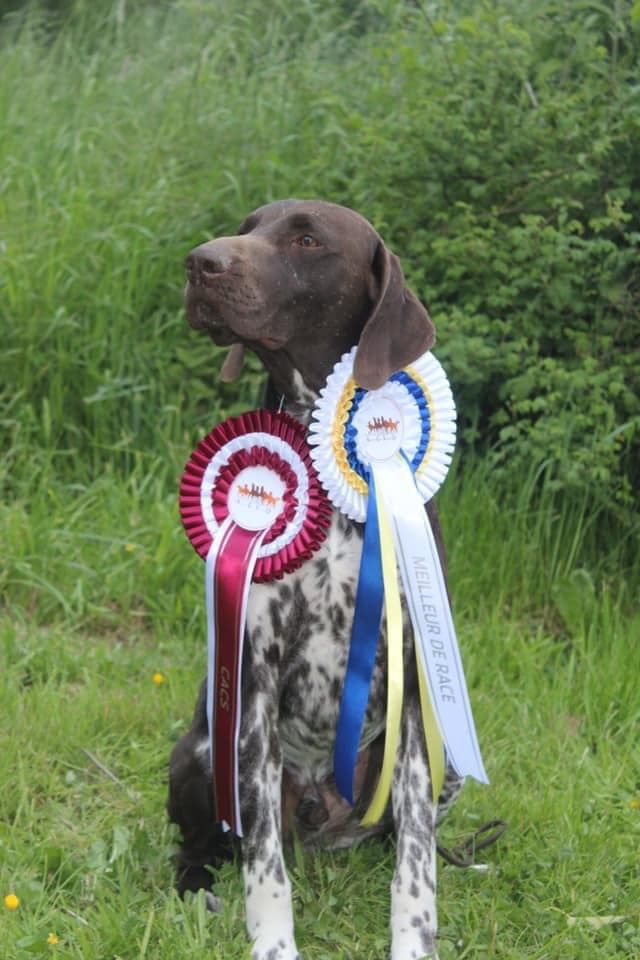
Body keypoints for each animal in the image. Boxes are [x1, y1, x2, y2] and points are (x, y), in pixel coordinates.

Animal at [168, 197, 462, 960]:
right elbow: (263, 866)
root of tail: (321, 820)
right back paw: (196, 888)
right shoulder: (255, 686)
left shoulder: (414, 694)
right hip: (202, 751)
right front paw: (273, 944)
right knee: (203, 845)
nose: (200, 263)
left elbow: (414, 865)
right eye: (249, 226)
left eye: (306, 239)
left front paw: (413, 941)